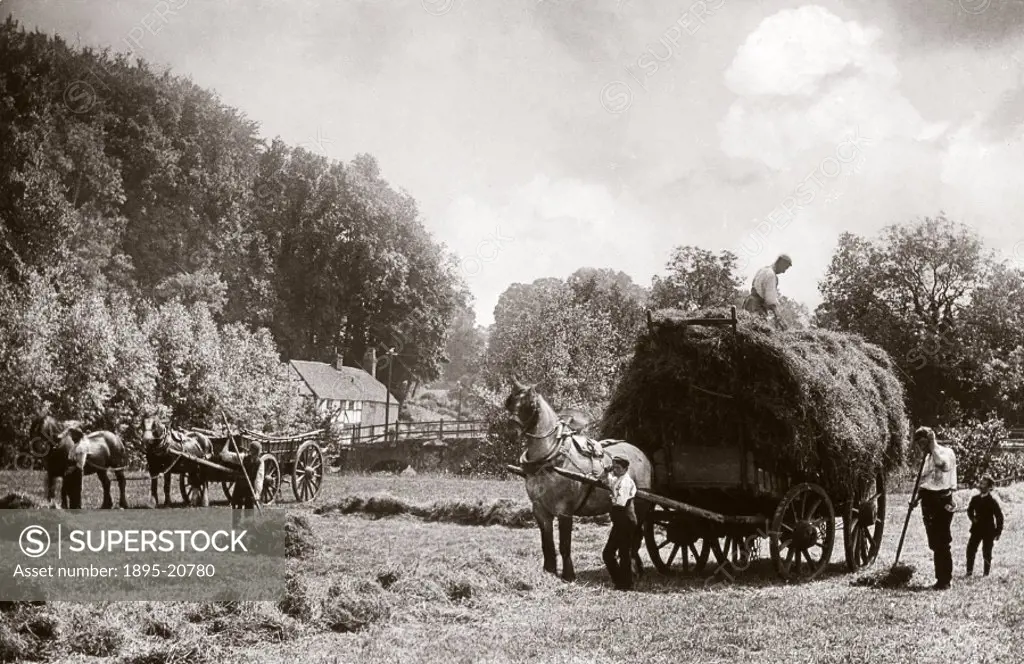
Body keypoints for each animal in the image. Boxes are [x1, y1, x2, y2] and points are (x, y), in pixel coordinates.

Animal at [505, 377, 655, 582]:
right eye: (510, 402)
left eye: (530, 405)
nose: (511, 432)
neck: (550, 460)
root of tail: (641, 453)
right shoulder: (539, 510)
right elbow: (547, 544)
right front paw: (549, 572)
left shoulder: (564, 510)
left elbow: (564, 545)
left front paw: (568, 575)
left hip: (640, 506)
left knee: (635, 535)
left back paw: (634, 569)